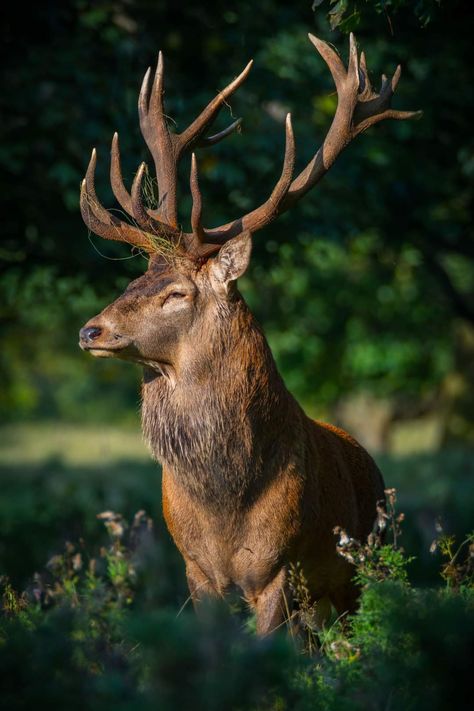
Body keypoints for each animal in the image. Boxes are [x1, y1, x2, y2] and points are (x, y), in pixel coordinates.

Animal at [79, 33, 420, 636]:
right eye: (132, 279)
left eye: (177, 293)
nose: (90, 329)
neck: (224, 502)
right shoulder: (195, 570)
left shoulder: (279, 567)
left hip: (362, 567)